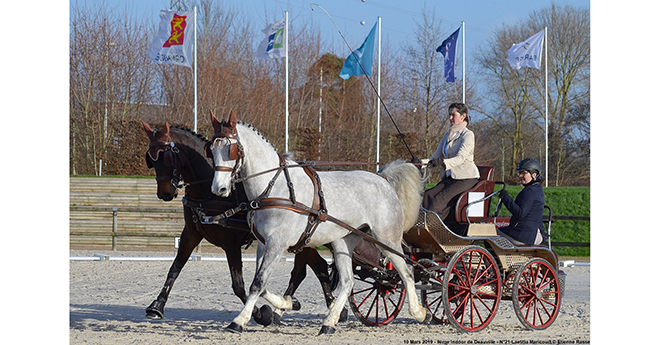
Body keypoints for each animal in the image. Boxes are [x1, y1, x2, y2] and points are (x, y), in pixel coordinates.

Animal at [141, 122, 342, 324]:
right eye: (151, 159)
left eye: (166, 157)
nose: (164, 193)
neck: (208, 194)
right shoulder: (191, 233)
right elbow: (175, 268)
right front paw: (157, 305)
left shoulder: (231, 242)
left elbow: (238, 285)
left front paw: (260, 314)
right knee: (320, 268)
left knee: (304, 271)